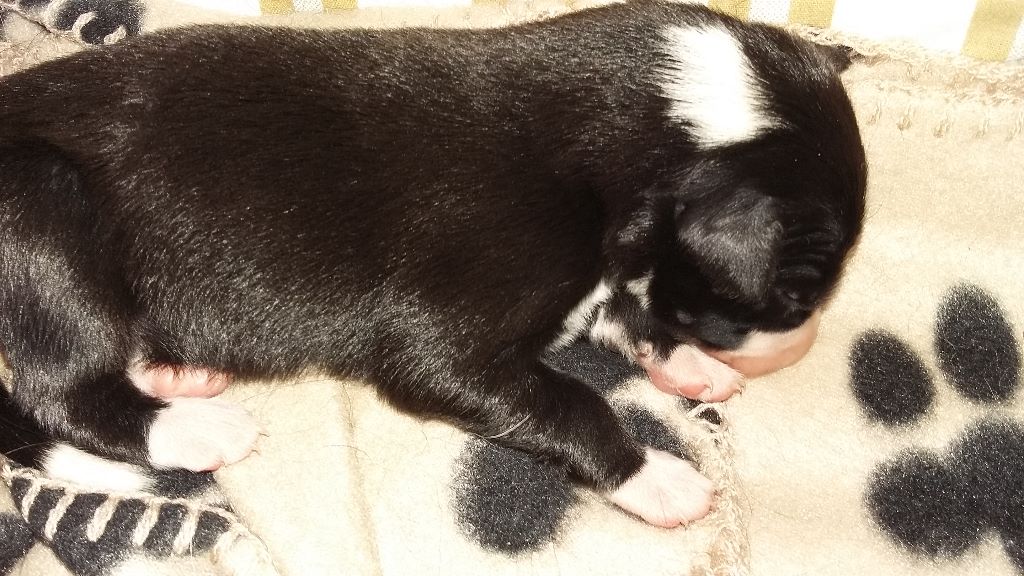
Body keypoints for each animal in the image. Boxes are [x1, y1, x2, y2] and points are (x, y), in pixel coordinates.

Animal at [0, 0, 865, 528]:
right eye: (796, 291)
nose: (799, 344)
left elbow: (621, 305)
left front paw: (686, 364)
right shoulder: (439, 341)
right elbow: (569, 399)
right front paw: (654, 474)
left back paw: (177, 374)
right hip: (43, 210)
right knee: (61, 392)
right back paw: (194, 428)